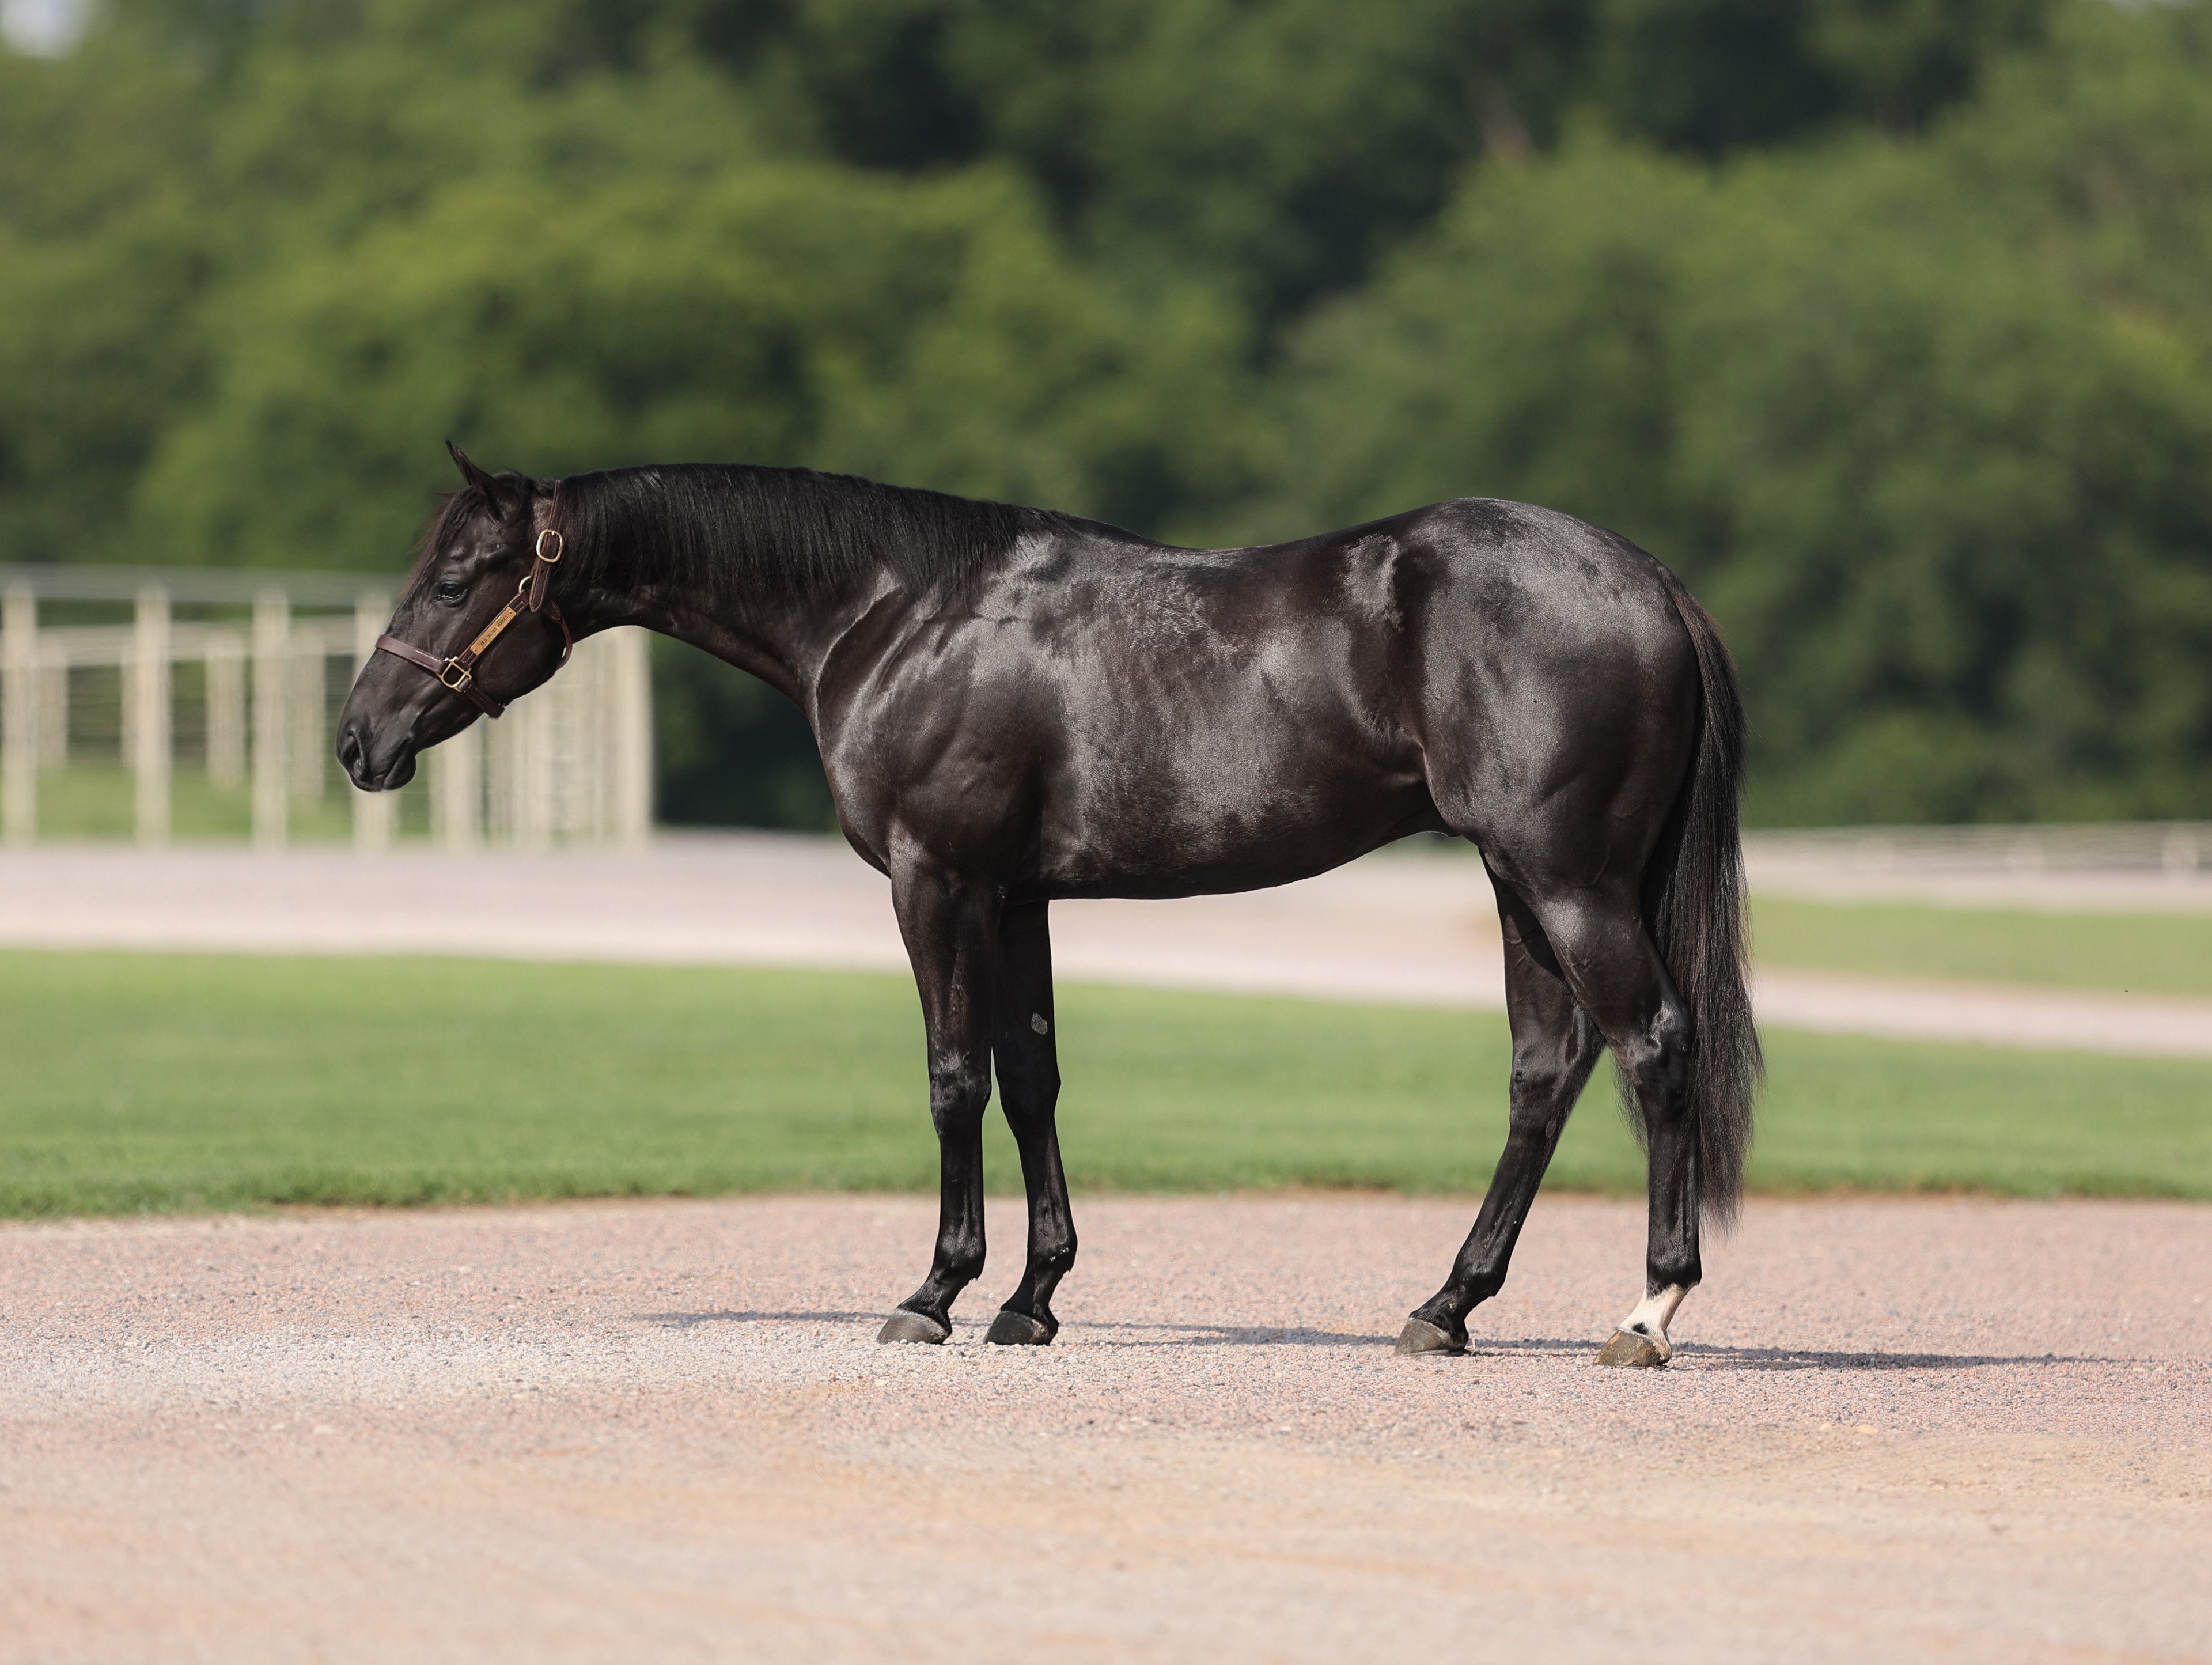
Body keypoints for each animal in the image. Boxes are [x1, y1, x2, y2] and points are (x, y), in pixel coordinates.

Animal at [337, 444, 1761, 1366]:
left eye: (460, 576)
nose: (358, 741)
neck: (895, 612)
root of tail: (1647, 580)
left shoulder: (938, 881)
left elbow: (953, 1078)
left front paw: (935, 1292)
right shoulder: (1018, 896)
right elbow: (1032, 1080)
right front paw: (1032, 1298)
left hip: (1565, 880)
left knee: (1651, 1045)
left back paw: (1647, 1314)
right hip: (1519, 882)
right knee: (1544, 1072)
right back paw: (1446, 1307)